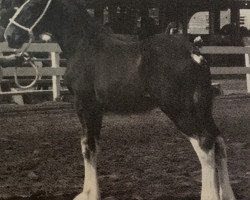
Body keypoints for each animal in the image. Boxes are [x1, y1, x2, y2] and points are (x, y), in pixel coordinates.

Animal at [4, 0, 236, 199]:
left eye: (32, 5)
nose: (9, 36)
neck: (85, 46)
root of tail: (194, 53)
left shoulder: (85, 105)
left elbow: (87, 146)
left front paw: (89, 194)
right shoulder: (96, 110)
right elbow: (94, 145)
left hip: (180, 110)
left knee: (204, 144)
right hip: (202, 109)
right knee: (218, 142)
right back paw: (227, 194)